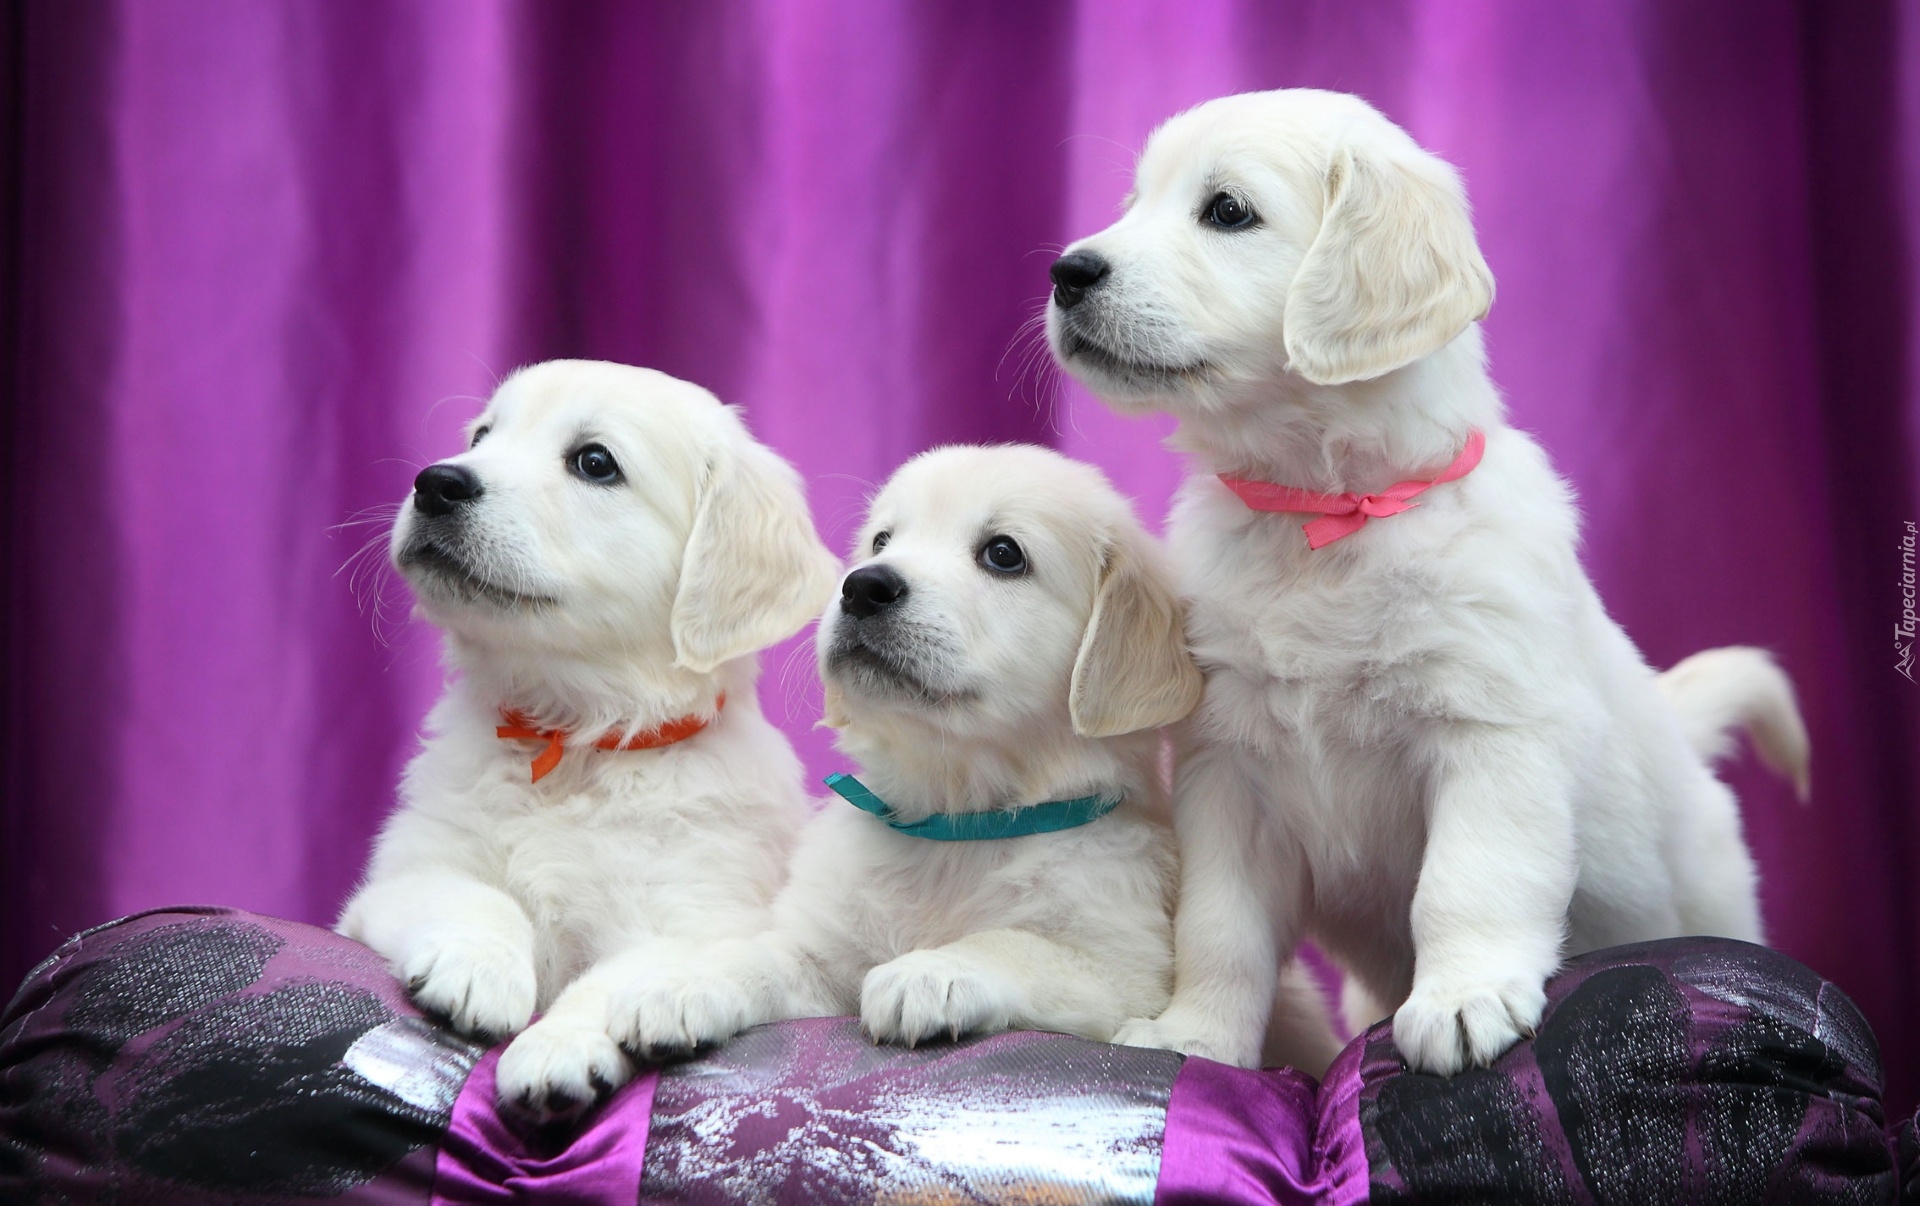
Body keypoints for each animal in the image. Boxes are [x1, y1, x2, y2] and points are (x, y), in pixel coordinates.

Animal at [337, 361, 833, 1121]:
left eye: (595, 463)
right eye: (481, 437)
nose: (436, 481)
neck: (575, 741)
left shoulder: (704, 912)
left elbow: (624, 976)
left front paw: (557, 1047)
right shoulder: (400, 877)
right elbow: (473, 895)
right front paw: (478, 969)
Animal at [606, 439, 1344, 1067]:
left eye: (1003, 554)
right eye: (881, 540)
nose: (863, 585)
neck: (956, 823)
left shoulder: (1126, 973)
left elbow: (1014, 945)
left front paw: (931, 970)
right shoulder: (818, 956)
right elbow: (754, 958)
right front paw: (675, 987)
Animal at [1044, 91, 1804, 1075]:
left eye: (1228, 211)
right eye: (1133, 203)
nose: (1066, 271)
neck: (1324, 513)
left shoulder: (1492, 735)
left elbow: (1467, 882)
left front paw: (1462, 998)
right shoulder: (1227, 768)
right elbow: (1218, 927)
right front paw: (1195, 1036)